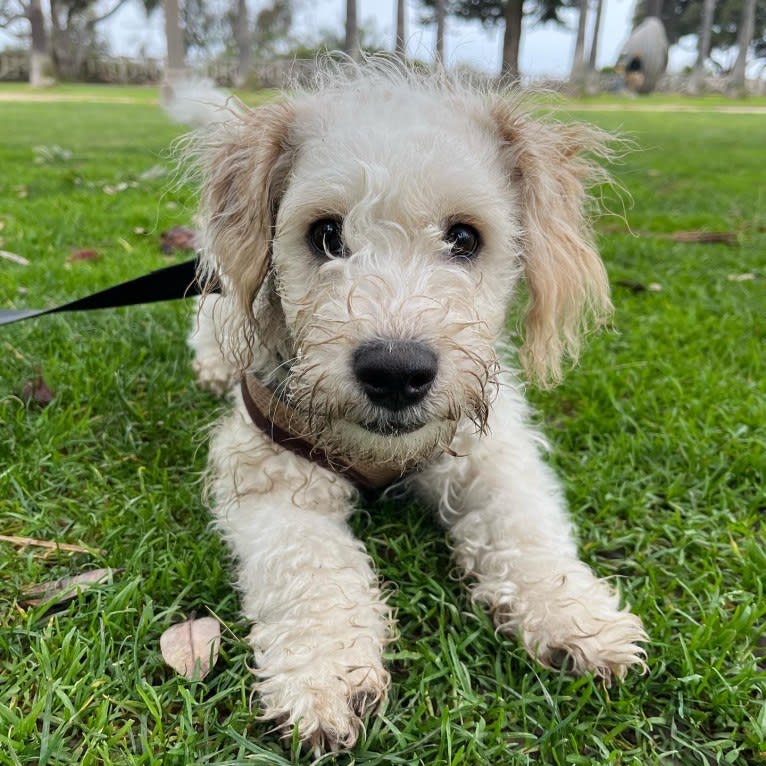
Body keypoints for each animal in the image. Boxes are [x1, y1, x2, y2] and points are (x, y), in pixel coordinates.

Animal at [178, 61, 648, 756]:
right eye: (326, 234)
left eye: (464, 237)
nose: (396, 373)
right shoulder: (269, 478)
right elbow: (309, 569)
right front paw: (325, 673)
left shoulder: (493, 456)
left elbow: (528, 534)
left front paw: (575, 615)